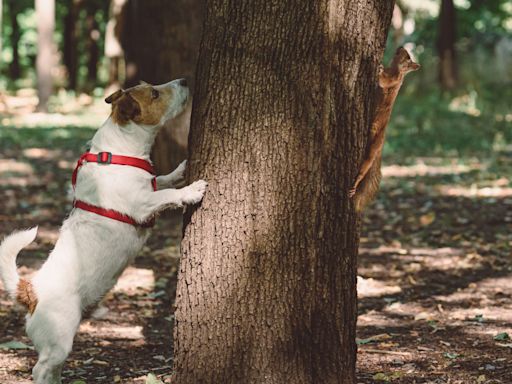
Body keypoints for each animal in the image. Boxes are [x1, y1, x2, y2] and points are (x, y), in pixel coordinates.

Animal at [1, 79, 208, 384]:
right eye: (155, 93)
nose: (183, 80)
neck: (118, 154)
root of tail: (31, 291)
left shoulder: (149, 186)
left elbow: (161, 180)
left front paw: (180, 170)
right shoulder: (143, 204)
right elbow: (168, 194)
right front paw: (192, 189)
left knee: (52, 370)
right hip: (59, 340)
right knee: (41, 368)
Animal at [352, 47, 420, 213]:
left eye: (408, 58)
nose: (401, 47)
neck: (394, 68)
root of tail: (381, 144)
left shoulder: (393, 80)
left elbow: (384, 81)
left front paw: (379, 69)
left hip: (373, 148)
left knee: (366, 164)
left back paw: (355, 184)